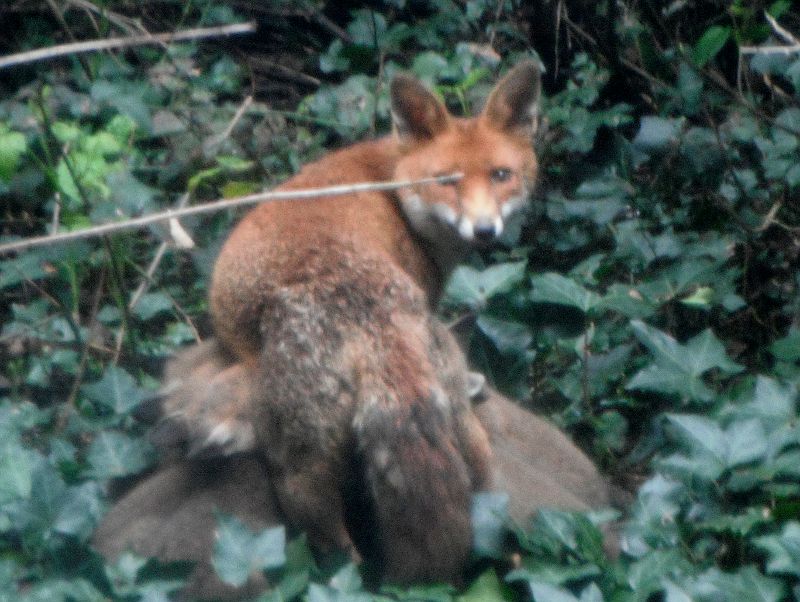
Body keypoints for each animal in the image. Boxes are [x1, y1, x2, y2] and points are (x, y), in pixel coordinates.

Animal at [153, 62, 540, 580]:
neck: (391, 182)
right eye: (447, 181)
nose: (484, 231)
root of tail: (362, 311)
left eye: (501, 176)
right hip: (382, 446)